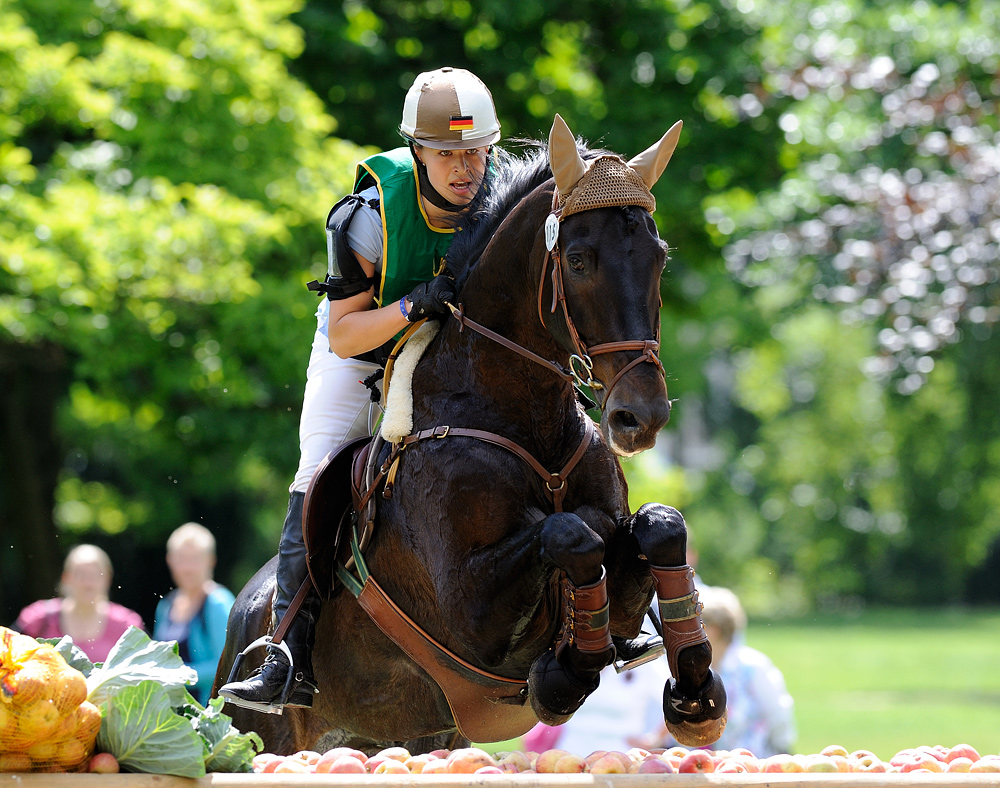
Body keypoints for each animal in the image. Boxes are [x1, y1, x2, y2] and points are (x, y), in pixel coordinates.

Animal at [213, 114, 728, 756]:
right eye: (579, 260)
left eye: (658, 257)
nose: (642, 417)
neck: (525, 420)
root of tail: (241, 616)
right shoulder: (469, 612)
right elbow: (572, 533)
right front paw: (562, 678)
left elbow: (657, 527)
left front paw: (695, 695)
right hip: (267, 734)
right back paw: (269, 675)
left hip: (416, 736)